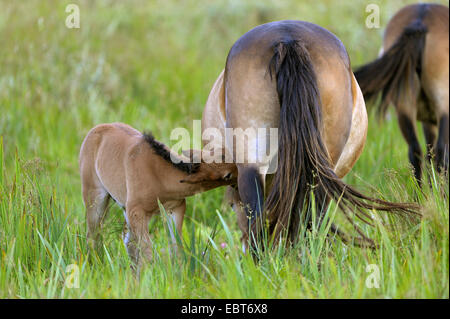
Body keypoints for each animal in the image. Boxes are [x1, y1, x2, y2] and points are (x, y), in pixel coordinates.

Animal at [79, 122, 237, 268]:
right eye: (227, 175)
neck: (160, 175)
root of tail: (98, 128)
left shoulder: (175, 208)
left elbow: (176, 247)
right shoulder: (136, 212)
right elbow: (147, 252)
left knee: (128, 242)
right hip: (95, 197)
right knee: (93, 236)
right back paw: (95, 265)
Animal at [356, 3, 446, 185]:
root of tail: (421, 19)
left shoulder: (428, 121)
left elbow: (428, 153)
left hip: (404, 105)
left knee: (416, 151)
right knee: (440, 152)